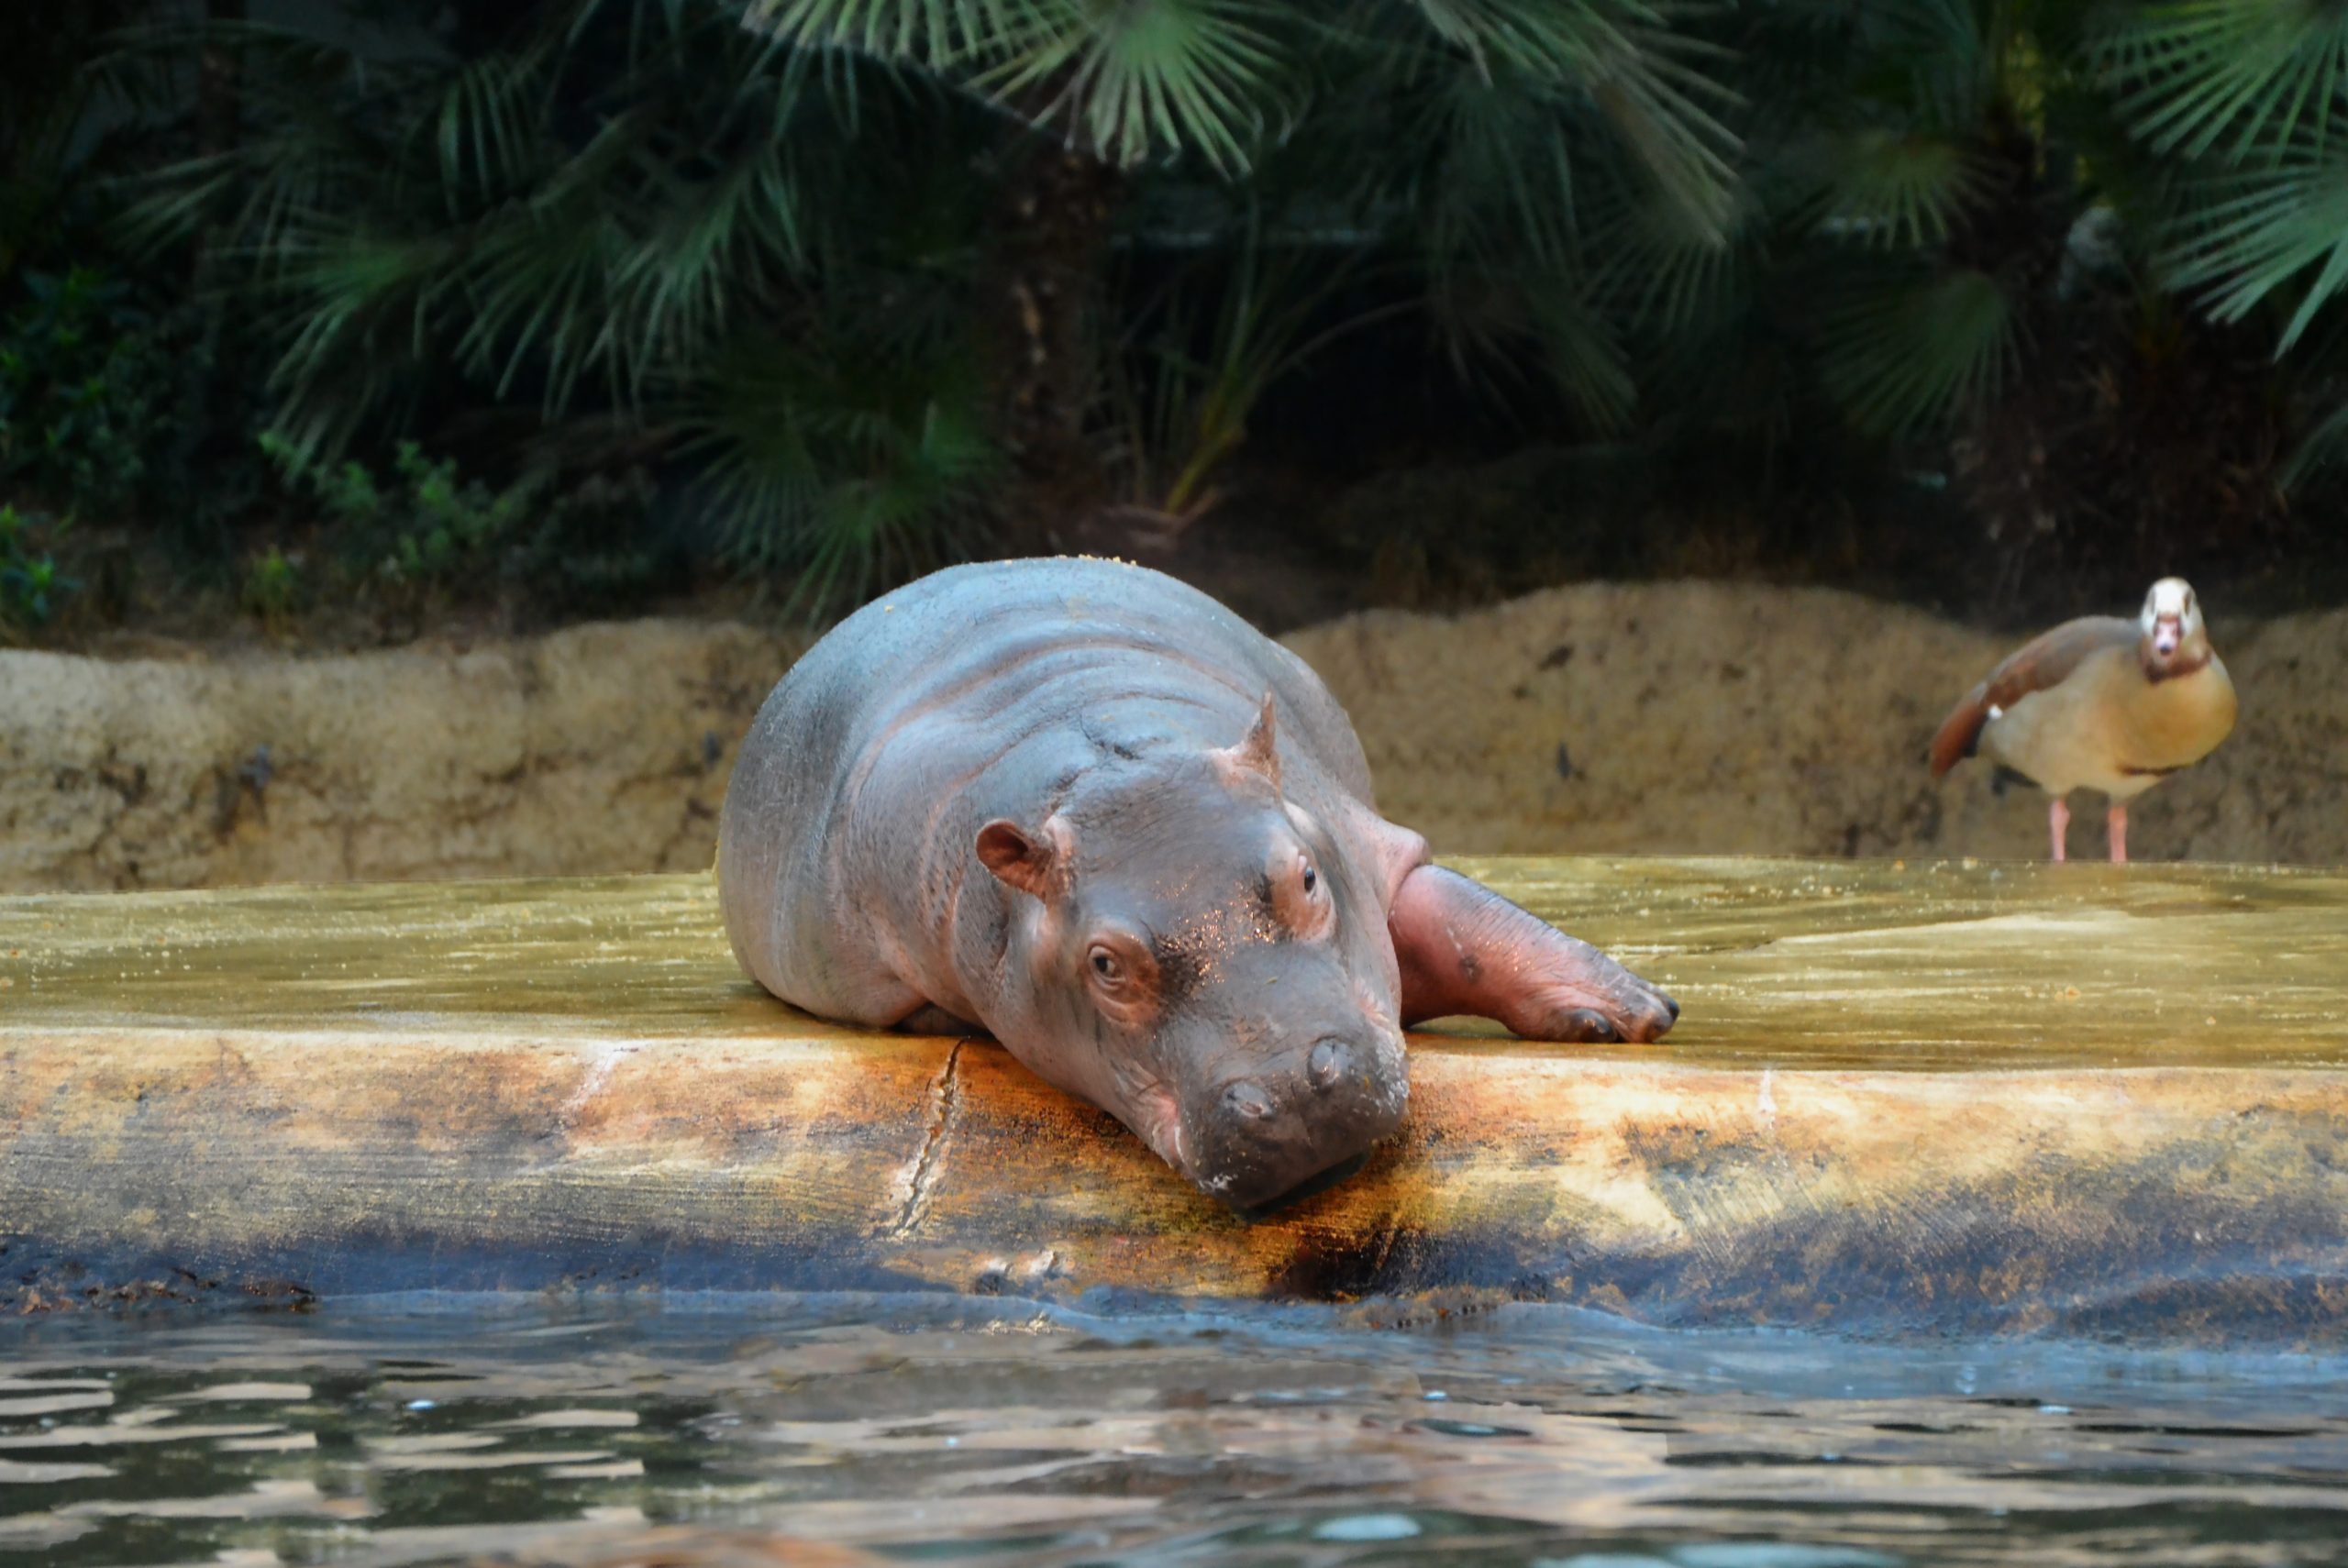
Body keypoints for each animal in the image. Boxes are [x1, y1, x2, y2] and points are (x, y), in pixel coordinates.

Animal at [723, 556, 1680, 1210]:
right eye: (1104, 964)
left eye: (1305, 877)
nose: (1292, 1092)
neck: (1107, 763)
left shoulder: (1357, 839)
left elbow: (1463, 919)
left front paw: (1628, 1011)